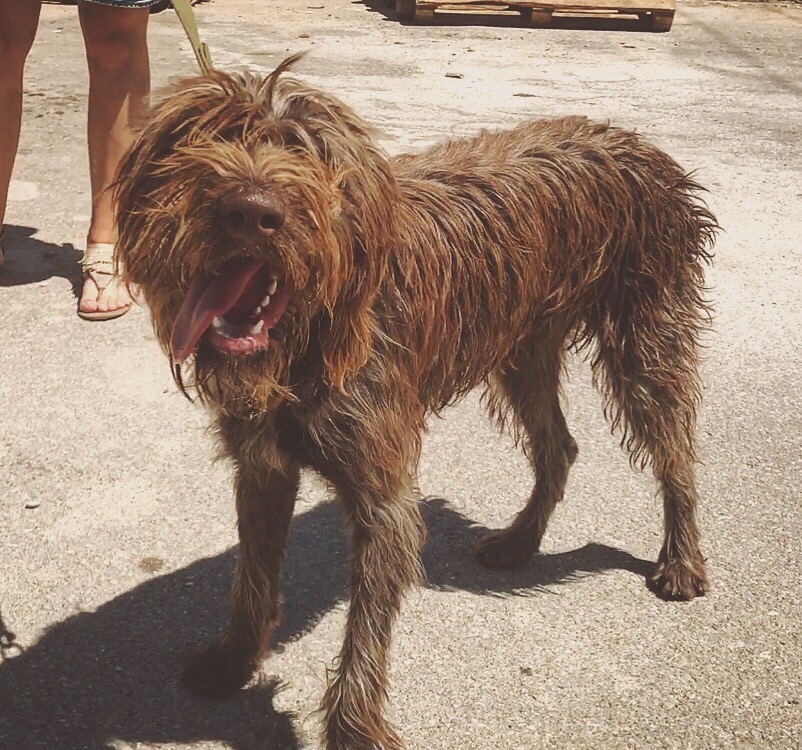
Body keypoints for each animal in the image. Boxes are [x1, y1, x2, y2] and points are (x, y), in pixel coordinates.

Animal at [115, 54, 717, 749]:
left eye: (311, 153)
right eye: (202, 137)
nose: (251, 212)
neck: (312, 340)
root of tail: (641, 145)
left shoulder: (384, 497)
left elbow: (364, 635)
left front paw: (353, 729)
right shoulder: (264, 466)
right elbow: (253, 578)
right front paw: (235, 662)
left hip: (643, 342)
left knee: (675, 452)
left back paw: (681, 560)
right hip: (526, 350)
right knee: (559, 446)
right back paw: (520, 541)